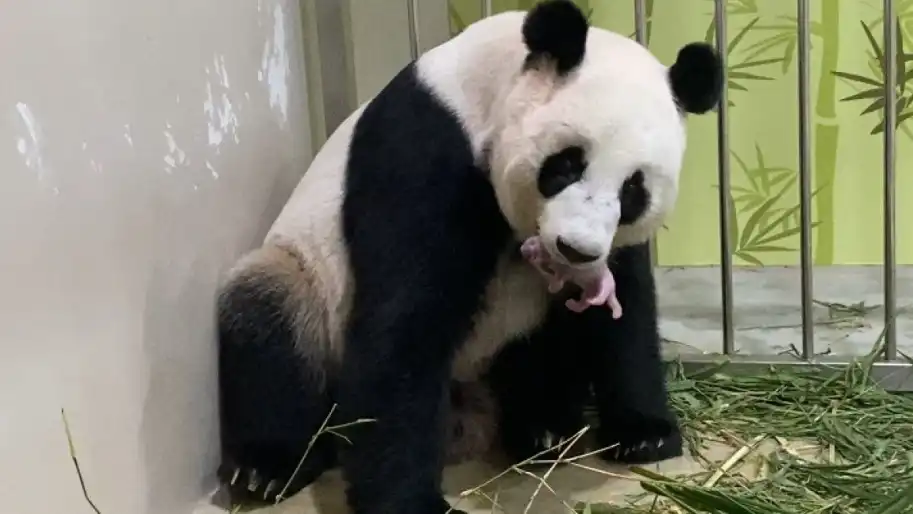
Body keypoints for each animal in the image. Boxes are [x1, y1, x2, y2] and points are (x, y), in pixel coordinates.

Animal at [215, 1, 723, 512]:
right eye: (566, 165)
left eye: (633, 190)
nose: (575, 249)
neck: (487, 88)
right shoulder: (424, 150)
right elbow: (404, 320)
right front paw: (412, 502)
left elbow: (625, 311)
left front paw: (645, 433)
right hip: (308, 283)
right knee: (269, 318)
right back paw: (270, 467)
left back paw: (543, 426)